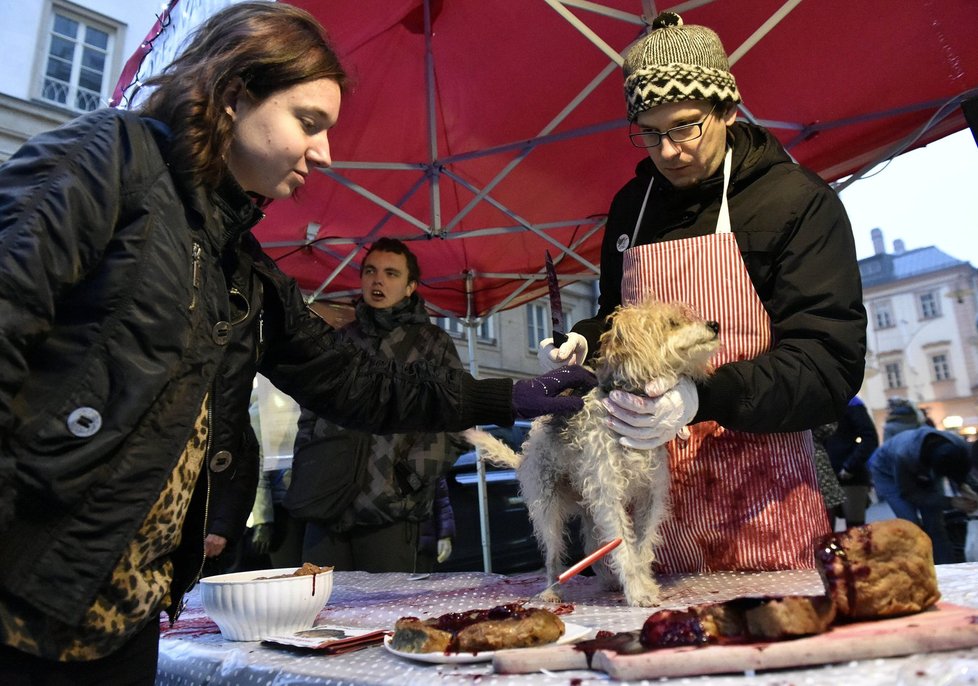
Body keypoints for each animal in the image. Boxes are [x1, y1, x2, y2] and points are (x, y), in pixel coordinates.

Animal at [462, 300, 720, 608]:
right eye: (672, 323)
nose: (715, 325)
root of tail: (523, 457)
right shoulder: (608, 496)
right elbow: (624, 547)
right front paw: (638, 592)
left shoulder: (650, 495)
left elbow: (641, 548)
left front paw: (645, 584)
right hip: (548, 509)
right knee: (553, 555)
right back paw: (552, 591)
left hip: (588, 506)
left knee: (591, 547)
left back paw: (609, 581)